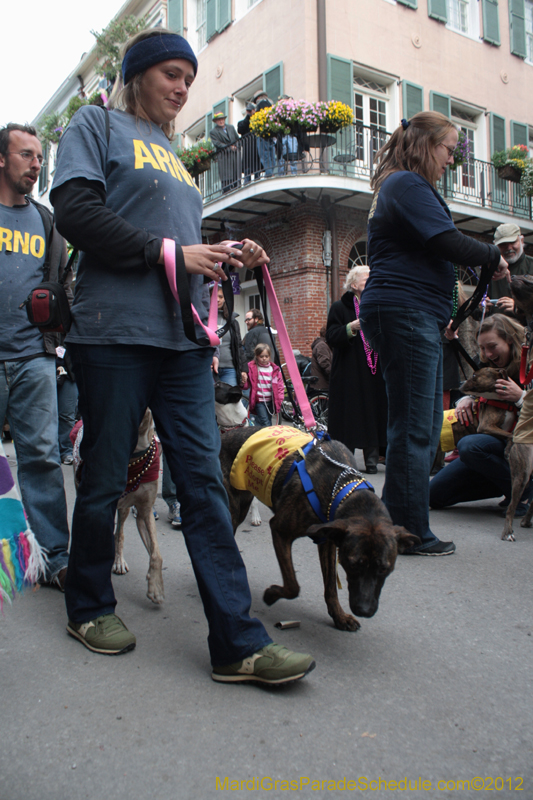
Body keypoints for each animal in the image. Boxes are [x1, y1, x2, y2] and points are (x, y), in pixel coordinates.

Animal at [218, 424, 418, 632]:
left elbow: (330, 587)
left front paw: (339, 617)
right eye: (353, 565)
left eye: (384, 568)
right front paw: (272, 594)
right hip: (233, 511)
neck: (341, 486)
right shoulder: (280, 530)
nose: (364, 610)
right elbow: (293, 585)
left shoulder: (329, 538)